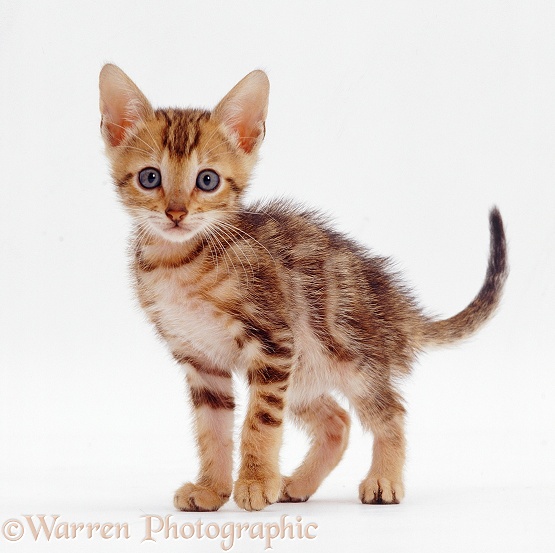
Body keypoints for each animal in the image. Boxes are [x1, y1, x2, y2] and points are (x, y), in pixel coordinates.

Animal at [99, 63, 508, 508]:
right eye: (149, 177)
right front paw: (211, 489)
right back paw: (296, 484)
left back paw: (383, 479)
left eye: (207, 180)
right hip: (304, 374)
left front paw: (255, 482)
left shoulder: (273, 341)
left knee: (390, 411)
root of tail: (398, 307)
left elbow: (259, 421)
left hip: (351, 357)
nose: (176, 213)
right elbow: (212, 429)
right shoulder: (201, 360)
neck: (179, 262)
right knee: (338, 420)